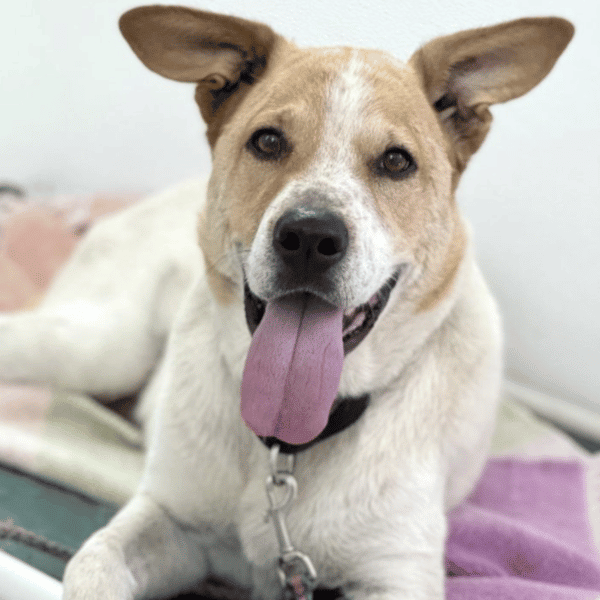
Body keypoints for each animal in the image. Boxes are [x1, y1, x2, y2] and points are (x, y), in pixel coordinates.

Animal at [0, 8, 576, 600]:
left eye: (396, 161)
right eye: (268, 142)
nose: (310, 237)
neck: (288, 445)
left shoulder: (397, 571)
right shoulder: (171, 518)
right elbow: (90, 563)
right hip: (103, 346)